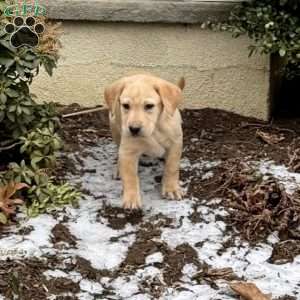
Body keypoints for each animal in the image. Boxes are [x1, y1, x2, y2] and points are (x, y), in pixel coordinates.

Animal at [105, 74, 185, 210]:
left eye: (149, 106)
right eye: (126, 106)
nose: (134, 129)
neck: (154, 129)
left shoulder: (175, 143)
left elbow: (172, 168)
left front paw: (172, 189)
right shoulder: (128, 151)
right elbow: (130, 177)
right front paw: (131, 199)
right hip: (114, 125)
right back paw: (119, 169)